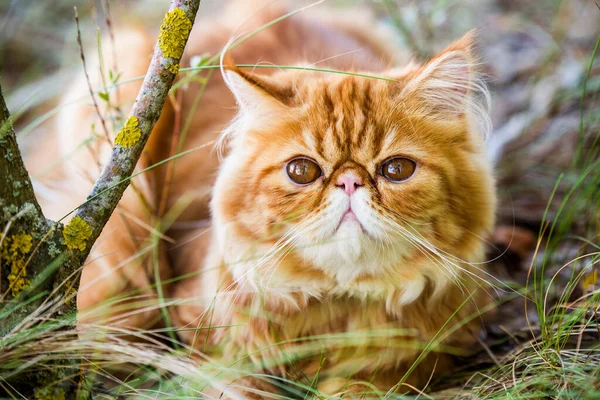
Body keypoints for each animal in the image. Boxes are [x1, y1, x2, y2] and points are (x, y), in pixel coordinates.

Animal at [38, 0, 496, 396]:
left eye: (396, 170)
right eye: (302, 171)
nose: (349, 183)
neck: (336, 309)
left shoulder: (424, 355)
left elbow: (365, 385)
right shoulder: (209, 345)